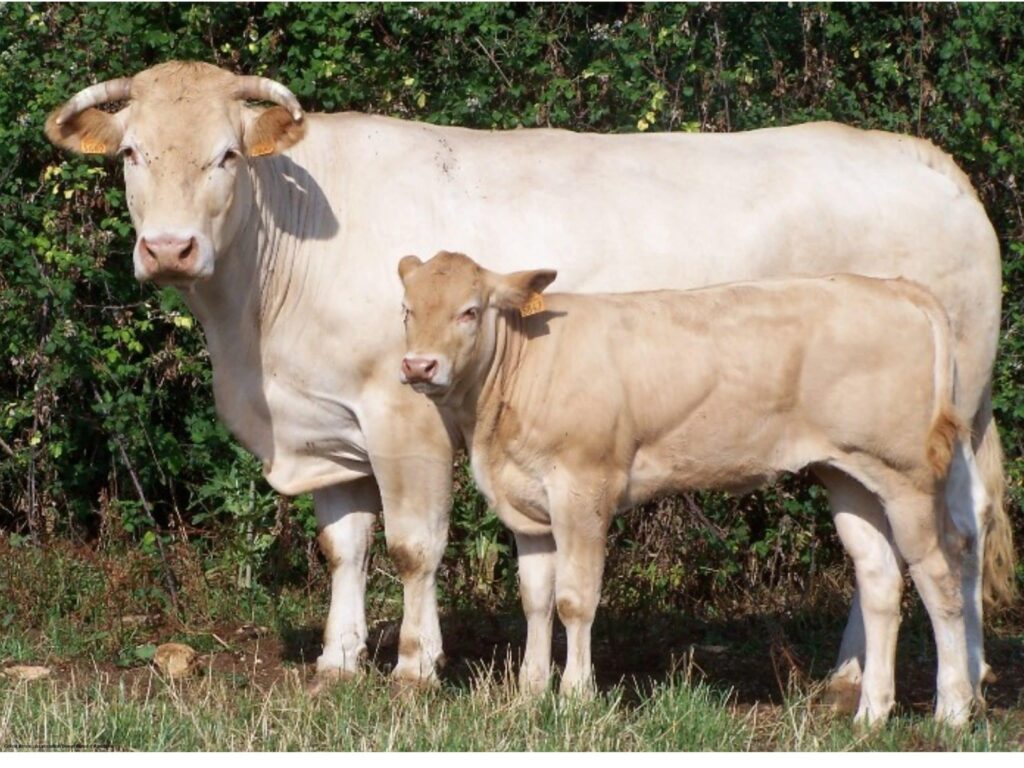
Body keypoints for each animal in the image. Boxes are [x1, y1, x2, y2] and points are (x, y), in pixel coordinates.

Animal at [397, 250, 984, 725]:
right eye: (407, 310)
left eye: (471, 310)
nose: (419, 365)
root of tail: (896, 288)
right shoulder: (528, 505)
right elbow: (535, 600)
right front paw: (529, 695)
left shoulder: (583, 490)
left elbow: (574, 600)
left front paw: (574, 698)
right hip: (849, 475)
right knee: (880, 578)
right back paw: (872, 714)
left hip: (907, 475)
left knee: (940, 574)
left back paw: (953, 711)